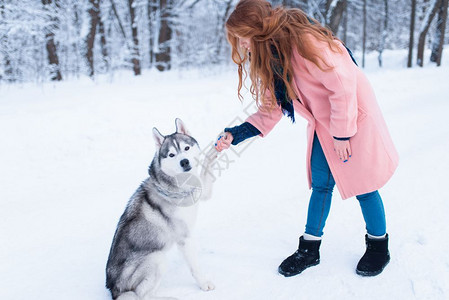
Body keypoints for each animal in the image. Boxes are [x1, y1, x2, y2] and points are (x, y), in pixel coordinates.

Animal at [106, 118, 216, 300]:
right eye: (171, 154)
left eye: (186, 148)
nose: (184, 162)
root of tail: (114, 290)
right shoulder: (183, 238)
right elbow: (194, 266)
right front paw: (204, 283)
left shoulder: (201, 192)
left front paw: (218, 146)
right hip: (157, 258)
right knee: (142, 295)